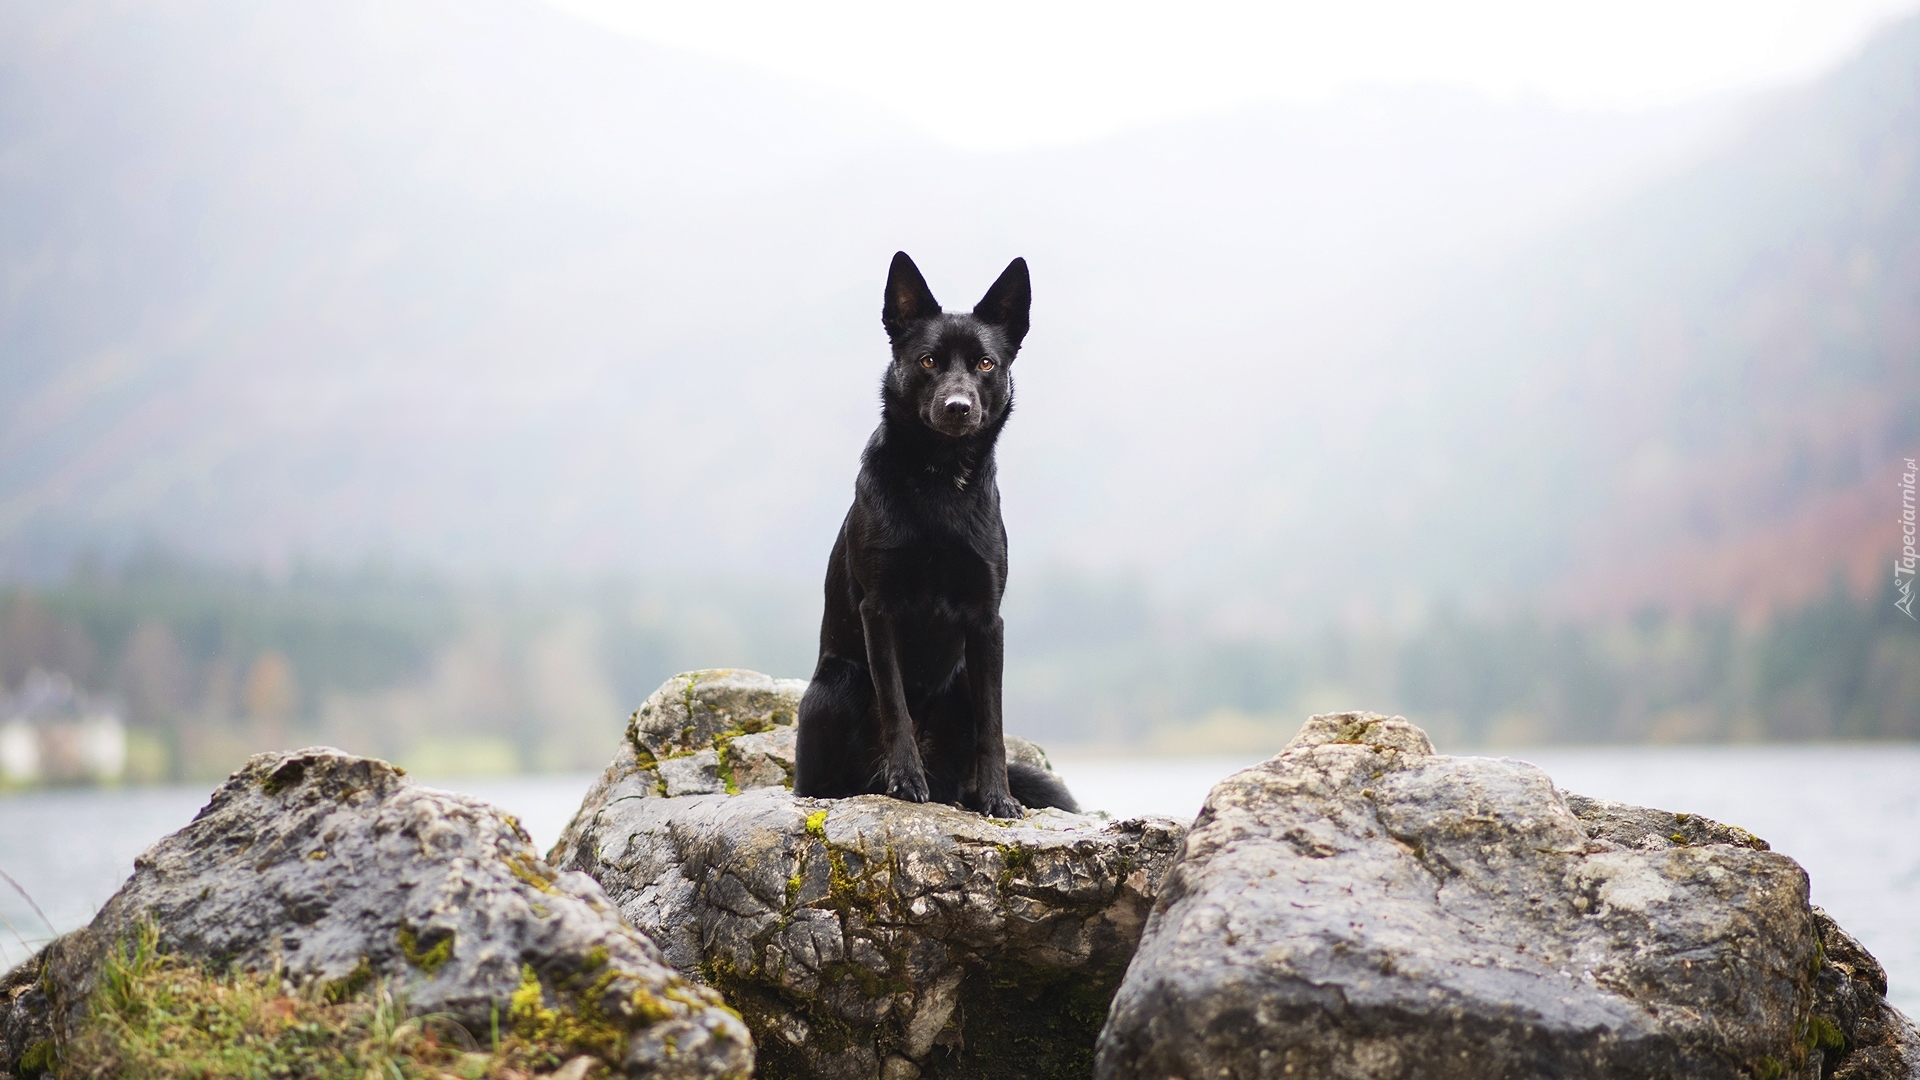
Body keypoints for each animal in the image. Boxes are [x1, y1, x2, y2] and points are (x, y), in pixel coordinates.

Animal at [787, 247, 1075, 810]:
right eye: (927, 361)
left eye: (985, 364)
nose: (958, 407)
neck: (940, 482)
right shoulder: (879, 610)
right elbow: (895, 703)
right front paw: (906, 780)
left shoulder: (987, 621)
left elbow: (993, 723)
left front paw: (998, 798)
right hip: (838, 686)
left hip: (958, 681)